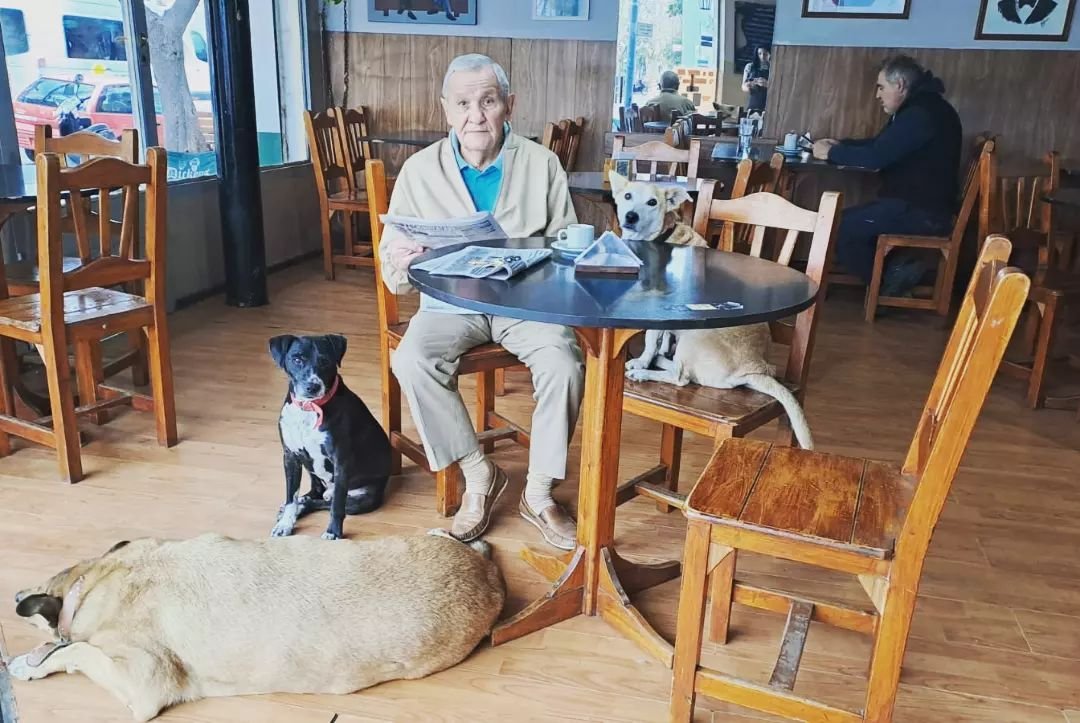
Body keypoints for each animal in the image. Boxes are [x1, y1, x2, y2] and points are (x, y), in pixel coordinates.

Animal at [6, 527, 503, 717]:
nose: (14, 595)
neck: (102, 577)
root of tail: (489, 581)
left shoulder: (143, 681)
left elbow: (75, 650)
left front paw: (30, 664)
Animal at [267, 330, 390, 536]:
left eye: (325, 361)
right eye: (297, 359)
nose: (313, 386)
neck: (310, 408)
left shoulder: (341, 460)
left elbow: (337, 506)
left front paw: (333, 532)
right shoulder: (290, 457)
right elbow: (291, 496)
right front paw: (285, 524)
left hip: (363, 499)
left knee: (326, 502)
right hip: (311, 471)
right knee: (314, 495)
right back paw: (300, 503)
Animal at [613, 171, 812, 447]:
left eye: (653, 202)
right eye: (627, 196)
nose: (631, 216)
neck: (659, 237)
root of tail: (754, 369)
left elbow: (652, 340)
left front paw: (644, 360)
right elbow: (663, 339)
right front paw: (656, 354)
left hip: (696, 335)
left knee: (682, 378)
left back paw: (645, 371)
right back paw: (662, 360)